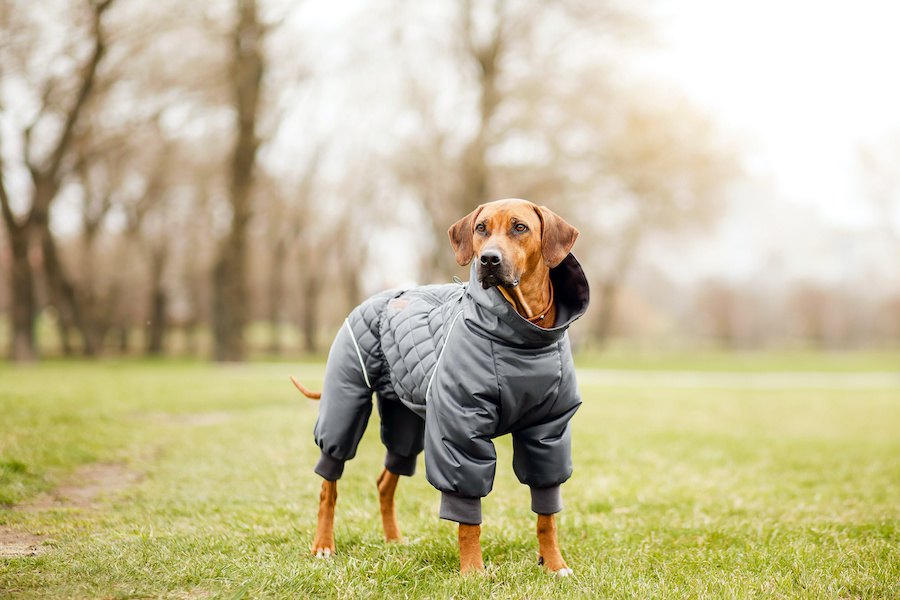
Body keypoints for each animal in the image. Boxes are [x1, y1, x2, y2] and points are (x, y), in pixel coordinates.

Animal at [290, 199, 592, 576]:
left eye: (520, 227)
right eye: (481, 228)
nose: (488, 260)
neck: (523, 336)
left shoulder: (547, 431)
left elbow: (547, 512)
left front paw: (554, 564)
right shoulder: (459, 428)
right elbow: (468, 516)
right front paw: (473, 571)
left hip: (405, 420)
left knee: (386, 479)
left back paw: (394, 540)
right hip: (345, 402)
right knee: (329, 481)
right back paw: (323, 544)